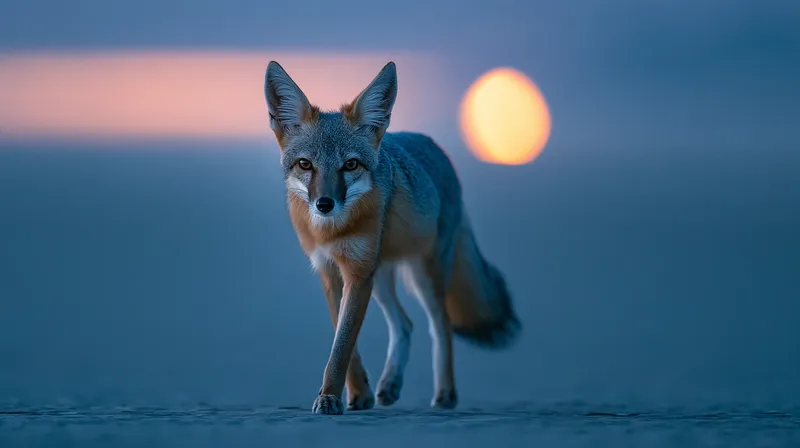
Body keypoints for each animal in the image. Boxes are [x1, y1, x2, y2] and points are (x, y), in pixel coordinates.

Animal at [263, 60, 521, 415]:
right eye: (305, 164)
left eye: (350, 165)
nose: (324, 204)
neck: (333, 231)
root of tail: (435, 147)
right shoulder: (331, 272)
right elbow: (346, 342)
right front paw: (358, 394)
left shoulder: (358, 274)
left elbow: (342, 345)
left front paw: (330, 396)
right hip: (382, 276)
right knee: (404, 324)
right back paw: (390, 384)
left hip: (423, 274)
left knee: (440, 326)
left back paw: (445, 394)